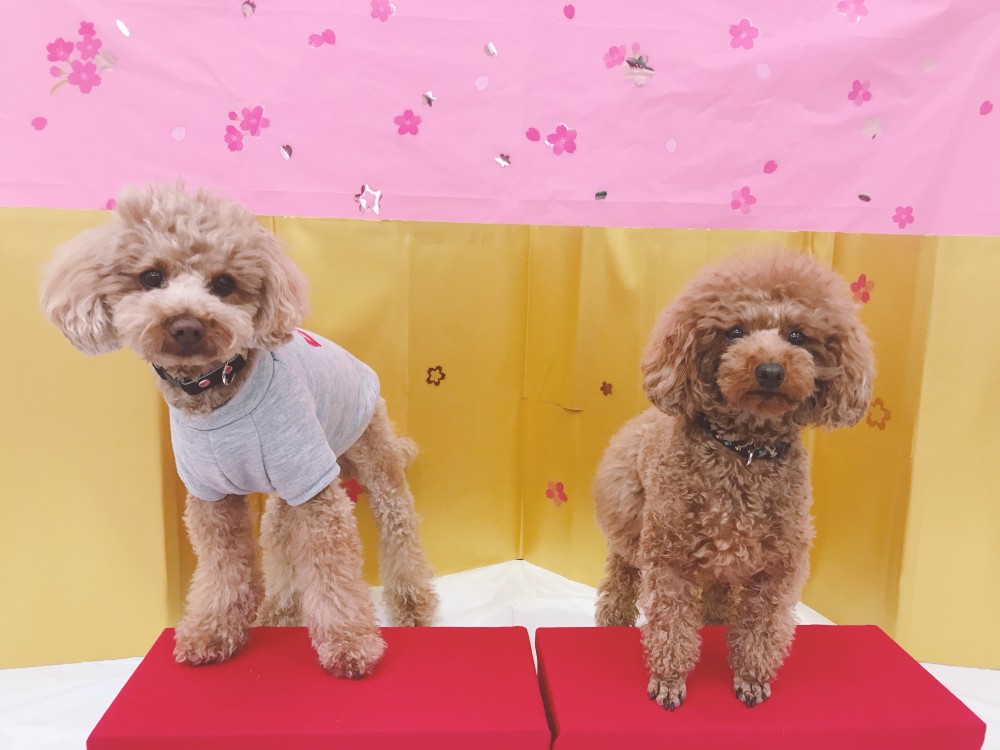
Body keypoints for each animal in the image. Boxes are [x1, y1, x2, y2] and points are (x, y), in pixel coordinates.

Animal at [40, 182, 438, 678]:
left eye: (224, 284)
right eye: (151, 277)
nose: (187, 326)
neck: (214, 391)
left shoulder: (312, 484)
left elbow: (332, 571)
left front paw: (350, 643)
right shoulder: (211, 496)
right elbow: (222, 570)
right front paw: (212, 632)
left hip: (370, 458)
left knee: (399, 529)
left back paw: (412, 607)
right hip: (284, 500)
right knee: (281, 544)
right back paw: (280, 612)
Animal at [592, 251, 873, 709]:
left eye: (798, 335)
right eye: (735, 331)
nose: (770, 370)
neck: (744, 453)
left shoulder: (778, 568)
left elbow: (761, 629)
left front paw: (751, 679)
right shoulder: (669, 558)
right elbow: (672, 626)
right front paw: (668, 680)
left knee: (719, 598)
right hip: (631, 528)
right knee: (620, 576)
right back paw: (611, 622)